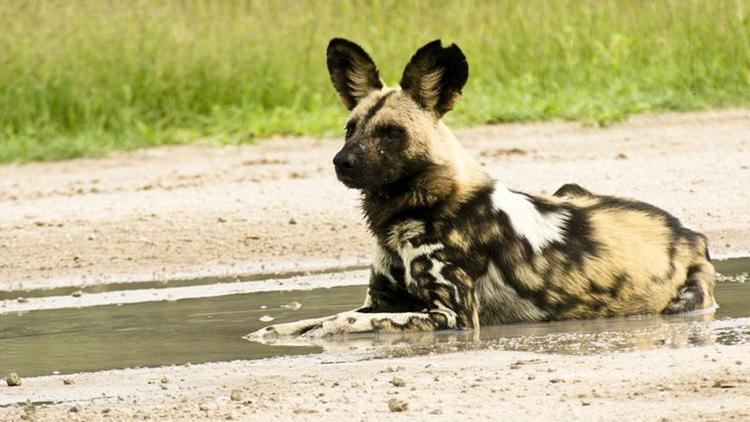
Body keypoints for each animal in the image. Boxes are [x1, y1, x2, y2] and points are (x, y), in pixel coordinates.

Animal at [245, 39, 716, 342]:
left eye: (391, 133)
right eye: (350, 128)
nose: (341, 162)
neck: (408, 213)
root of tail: (691, 234)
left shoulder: (450, 314)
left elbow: (339, 322)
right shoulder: (382, 302)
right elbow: (299, 324)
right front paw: (271, 332)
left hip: (683, 301)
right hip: (569, 188)